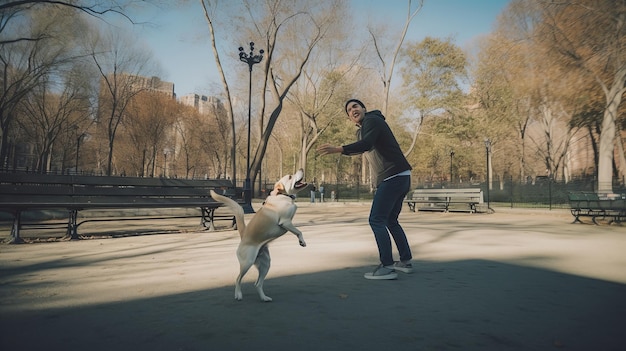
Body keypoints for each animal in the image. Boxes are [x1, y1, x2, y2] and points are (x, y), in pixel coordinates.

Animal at [210, 170, 308, 302]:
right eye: (290, 177)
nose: (302, 168)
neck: (283, 196)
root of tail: (243, 235)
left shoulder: (288, 223)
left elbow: (298, 231)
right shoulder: (286, 222)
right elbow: (298, 231)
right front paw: (302, 241)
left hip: (265, 264)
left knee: (257, 284)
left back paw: (264, 298)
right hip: (247, 262)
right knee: (238, 279)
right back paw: (238, 294)